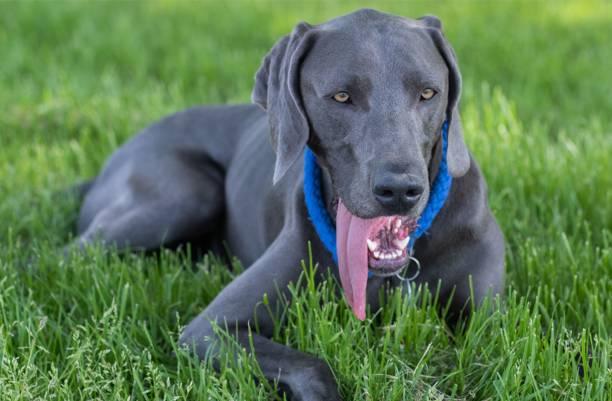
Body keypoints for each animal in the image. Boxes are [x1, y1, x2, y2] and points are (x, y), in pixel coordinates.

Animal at [71, 9, 504, 400]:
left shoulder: (491, 322)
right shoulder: (210, 329)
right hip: (185, 196)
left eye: (428, 93)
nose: (400, 189)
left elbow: (488, 359)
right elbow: (312, 366)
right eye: (341, 96)